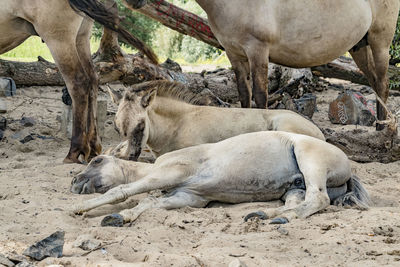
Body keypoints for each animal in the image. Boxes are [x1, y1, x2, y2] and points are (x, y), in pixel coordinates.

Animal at [0, 0, 158, 163]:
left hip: (59, 40)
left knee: (78, 83)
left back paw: (75, 151)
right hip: (81, 38)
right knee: (92, 80)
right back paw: (93, 147)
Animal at [70, 132, 370, 226]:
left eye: (97, 160)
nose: (74, 183)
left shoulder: (167, 174)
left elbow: (122, 191)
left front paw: (80, 208)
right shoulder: (187, 197)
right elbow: (148, 205)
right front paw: (120, 217)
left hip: (310, 161)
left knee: (317, 198)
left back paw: (279, 218)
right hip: (294, 186)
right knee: (297, 201)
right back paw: (265, 215)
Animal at [128, 0, 400, 131]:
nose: (132, 2)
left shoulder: (257, 51)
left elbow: (260, 97)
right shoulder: (235, 55)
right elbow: (243, 95)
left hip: (379, 41)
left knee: (383, 83)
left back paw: (381, 128)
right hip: (360, 46)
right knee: (374, 82)